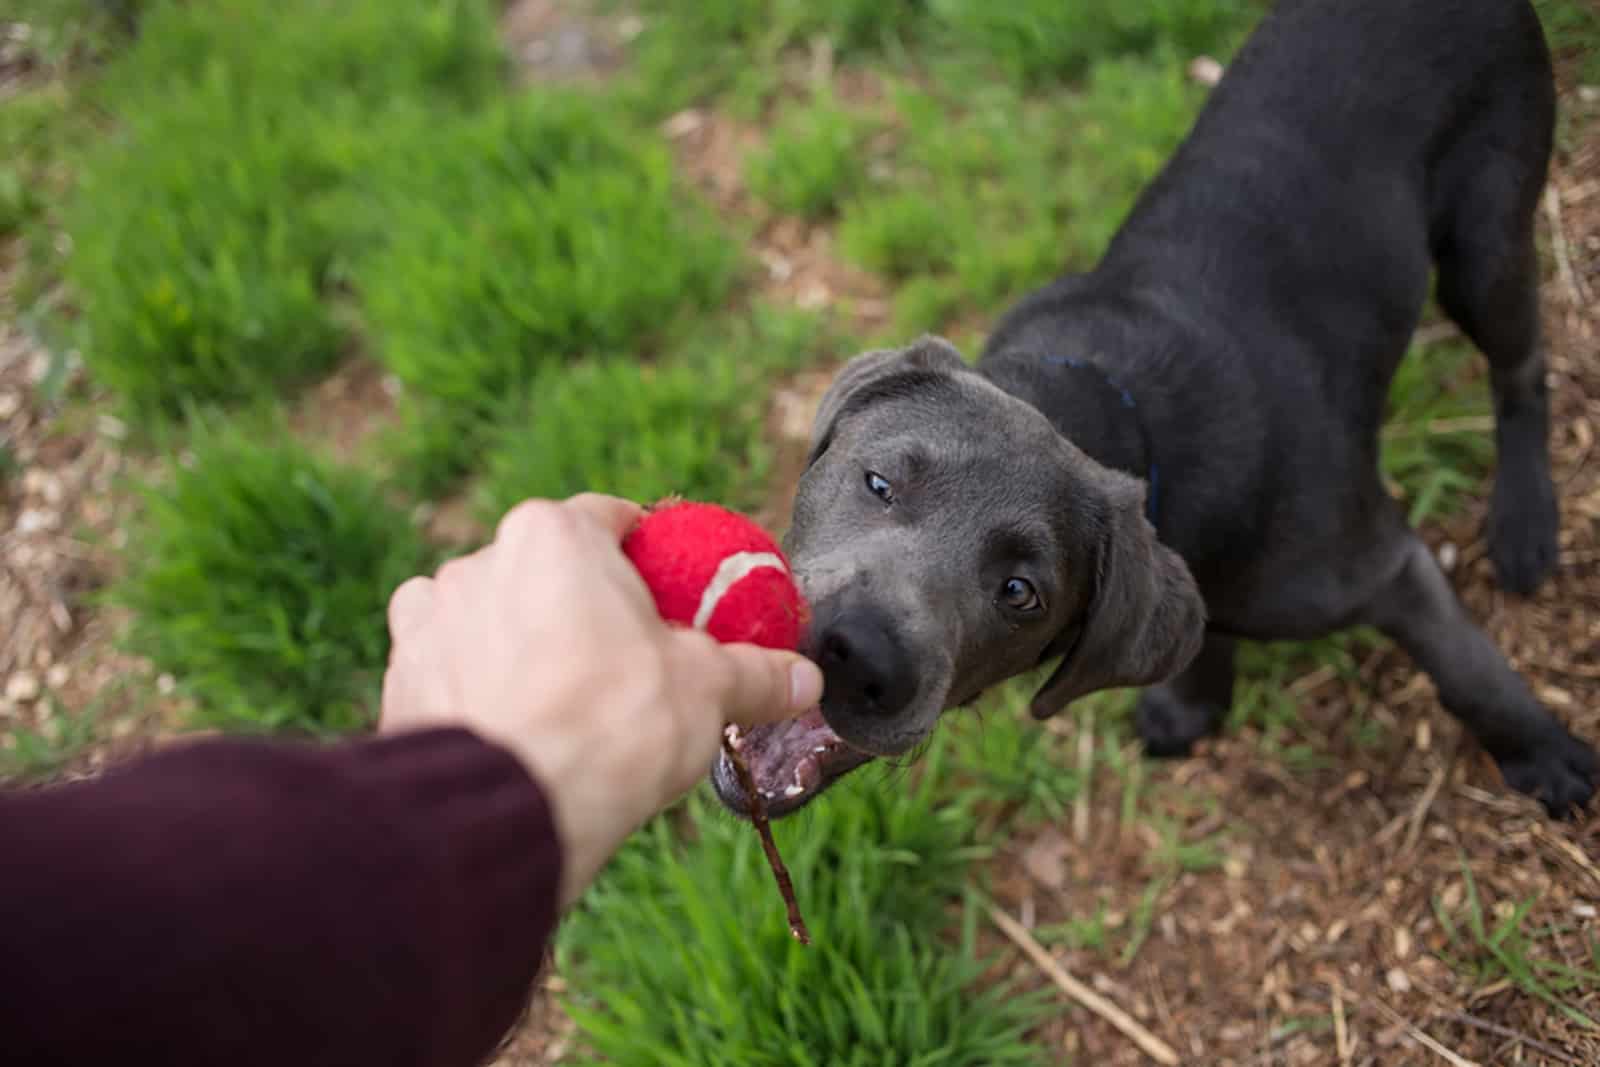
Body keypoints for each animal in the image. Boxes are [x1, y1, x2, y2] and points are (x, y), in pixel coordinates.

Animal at [716, 0, 1600, 825]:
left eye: (1020, 591)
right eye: (877, 483)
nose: (855, 652)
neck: (1114, 398)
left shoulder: (1386, 565)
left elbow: (1465, 667)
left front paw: (1544, 752)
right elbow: (1202, 628)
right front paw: (1194, 698)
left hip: (1484, 243)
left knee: (1523, 369)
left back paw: (1525, 524)